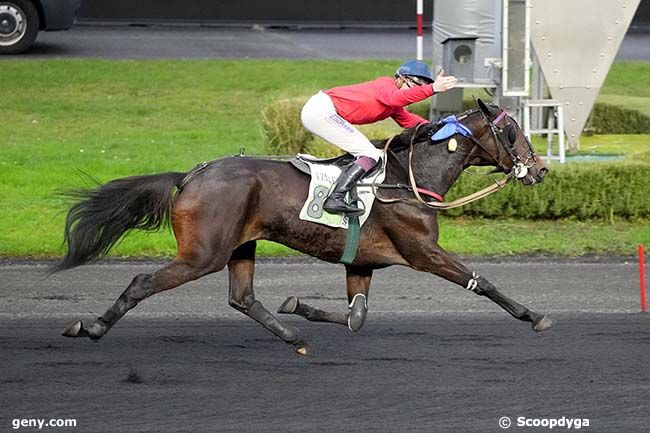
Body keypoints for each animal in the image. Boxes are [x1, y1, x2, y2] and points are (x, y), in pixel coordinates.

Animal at [57, 100, 552, 354]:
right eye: (512, 131)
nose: (540, 169)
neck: (407, 178)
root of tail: (191, 175)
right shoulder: (422, 251)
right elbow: (480, 281)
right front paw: (534, 316)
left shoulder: (363, 262)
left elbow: (355, 316)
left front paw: (301, 307)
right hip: (203, 253)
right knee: (143, 282)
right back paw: (92, 328)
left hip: (241, 245)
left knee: (243, 298)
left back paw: (293, 336)